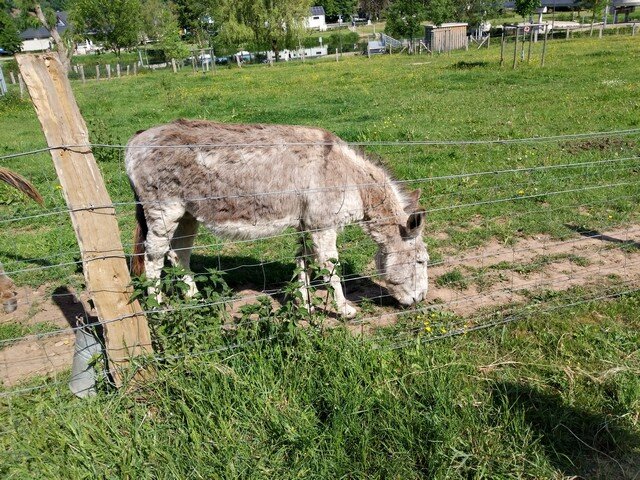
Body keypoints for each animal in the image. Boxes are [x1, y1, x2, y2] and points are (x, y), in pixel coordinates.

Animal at [125, 119, 429, 317]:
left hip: (188, 214)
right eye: (421, 261)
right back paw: (158, 308)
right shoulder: (322, 226)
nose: (421, 299)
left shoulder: (306, 226)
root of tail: (135, 139)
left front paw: (304, 306)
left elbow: (303, 263)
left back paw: (194, 297)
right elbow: (330, 268)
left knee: (179, 253)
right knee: (153, 257)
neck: (350, 177)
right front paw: (344, 310)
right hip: (164, 210)